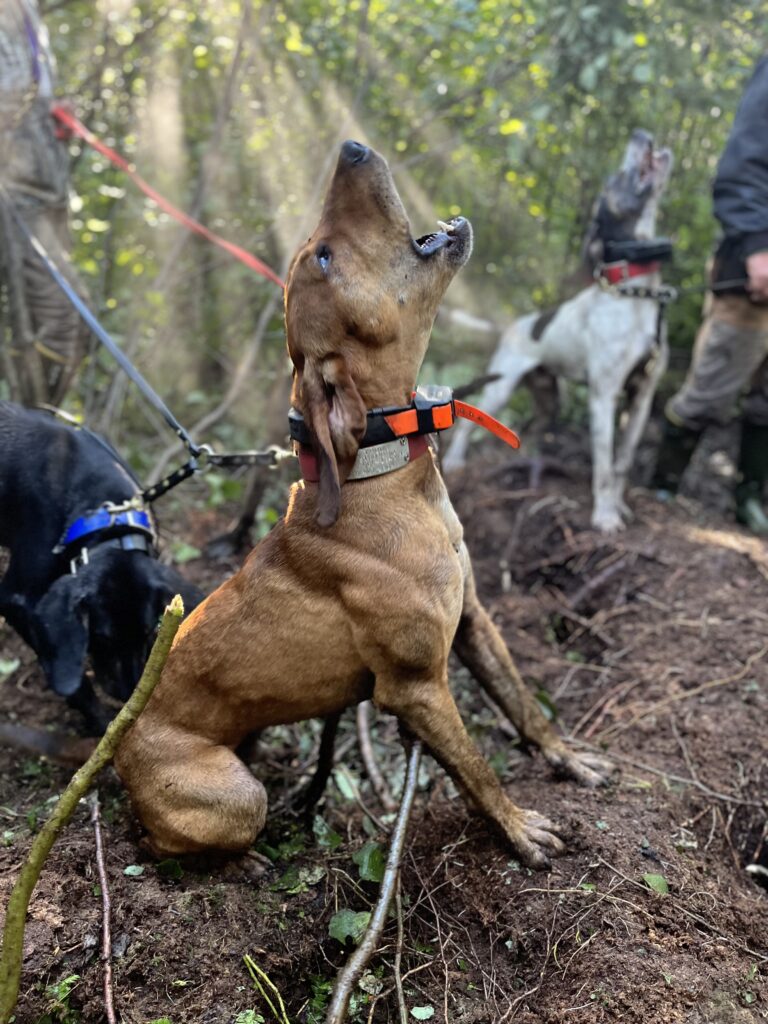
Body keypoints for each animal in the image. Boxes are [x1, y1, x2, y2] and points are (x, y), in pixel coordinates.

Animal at [0, 399, 202, 729]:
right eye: (101, 638)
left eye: (149, 632)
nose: (127, 693)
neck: (107, 517)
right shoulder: (17, 600)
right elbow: (74, 680)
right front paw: (98, 721)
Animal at [117, 140, 614, 868]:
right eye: (323, 257)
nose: (351, 146)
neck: (382, 477)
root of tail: (117, 749)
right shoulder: (416, 687)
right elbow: (473, 766)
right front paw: (518, 826)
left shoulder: (473, 621)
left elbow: (523, 704)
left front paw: (566, 758)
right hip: (235, 797)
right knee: (168, 837)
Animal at [444, 131, 671, 532]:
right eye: (616, 178)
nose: (641, 134)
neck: (635, 293)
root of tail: (512, 325)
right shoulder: (603, 395)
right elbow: (604, 467)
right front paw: (605, 516)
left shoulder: (642, 399)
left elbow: (622, 463)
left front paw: (618, 506)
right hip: (501, 388)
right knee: (468, 426)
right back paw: (454, 461)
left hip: (550, 395)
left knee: (533, 428)